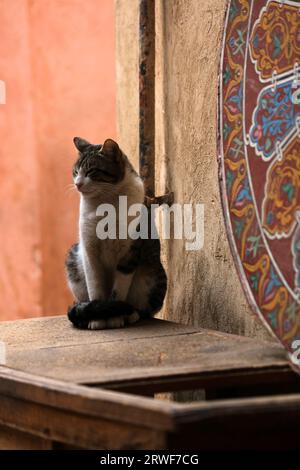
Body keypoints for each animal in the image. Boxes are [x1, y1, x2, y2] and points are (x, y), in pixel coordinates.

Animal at [65, 137, 166, 330]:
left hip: (153, 274)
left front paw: (114, 318)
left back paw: (131, 314)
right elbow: (95, 288)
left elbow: (118, 291)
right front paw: (97, 318)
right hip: (73, 260)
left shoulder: (128, 254)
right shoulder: (89, 250)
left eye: (91, 171)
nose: (77, 184)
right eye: (75, 171)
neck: (105, 203)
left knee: (143, 309)